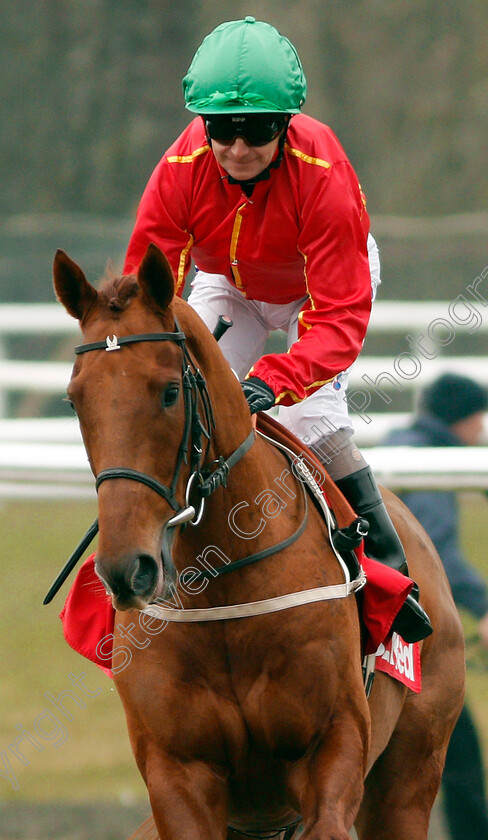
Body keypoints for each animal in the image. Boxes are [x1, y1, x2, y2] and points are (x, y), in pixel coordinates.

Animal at [53, 244, 466, 840]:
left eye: (170, 392)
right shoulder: (177, 772)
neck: (222, 581)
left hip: (409, 778)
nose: (127, 569)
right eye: (73, 400)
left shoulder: (331, 749)